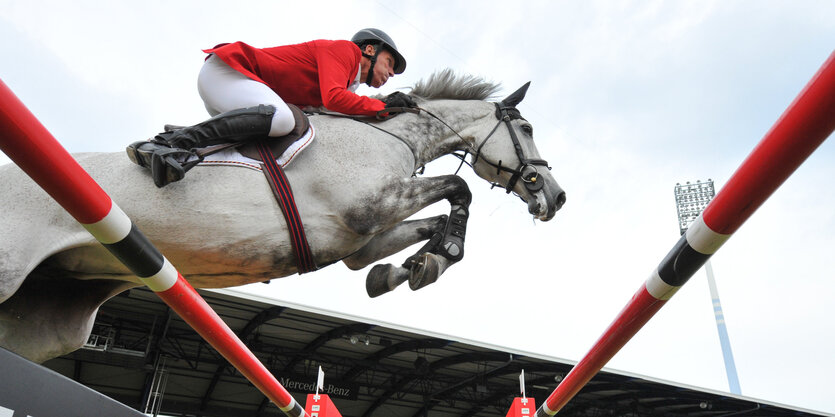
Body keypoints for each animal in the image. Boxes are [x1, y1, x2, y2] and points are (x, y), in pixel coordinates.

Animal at [0, 70, 564, 362]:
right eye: (528, 128)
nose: (556, 198)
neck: (390, 135)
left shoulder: (359, 240)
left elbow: (383, 257)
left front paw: (406, 270)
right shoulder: (370, 206)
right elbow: (458, 187)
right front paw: (439, 255)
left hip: (52, 317)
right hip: (10, 274)